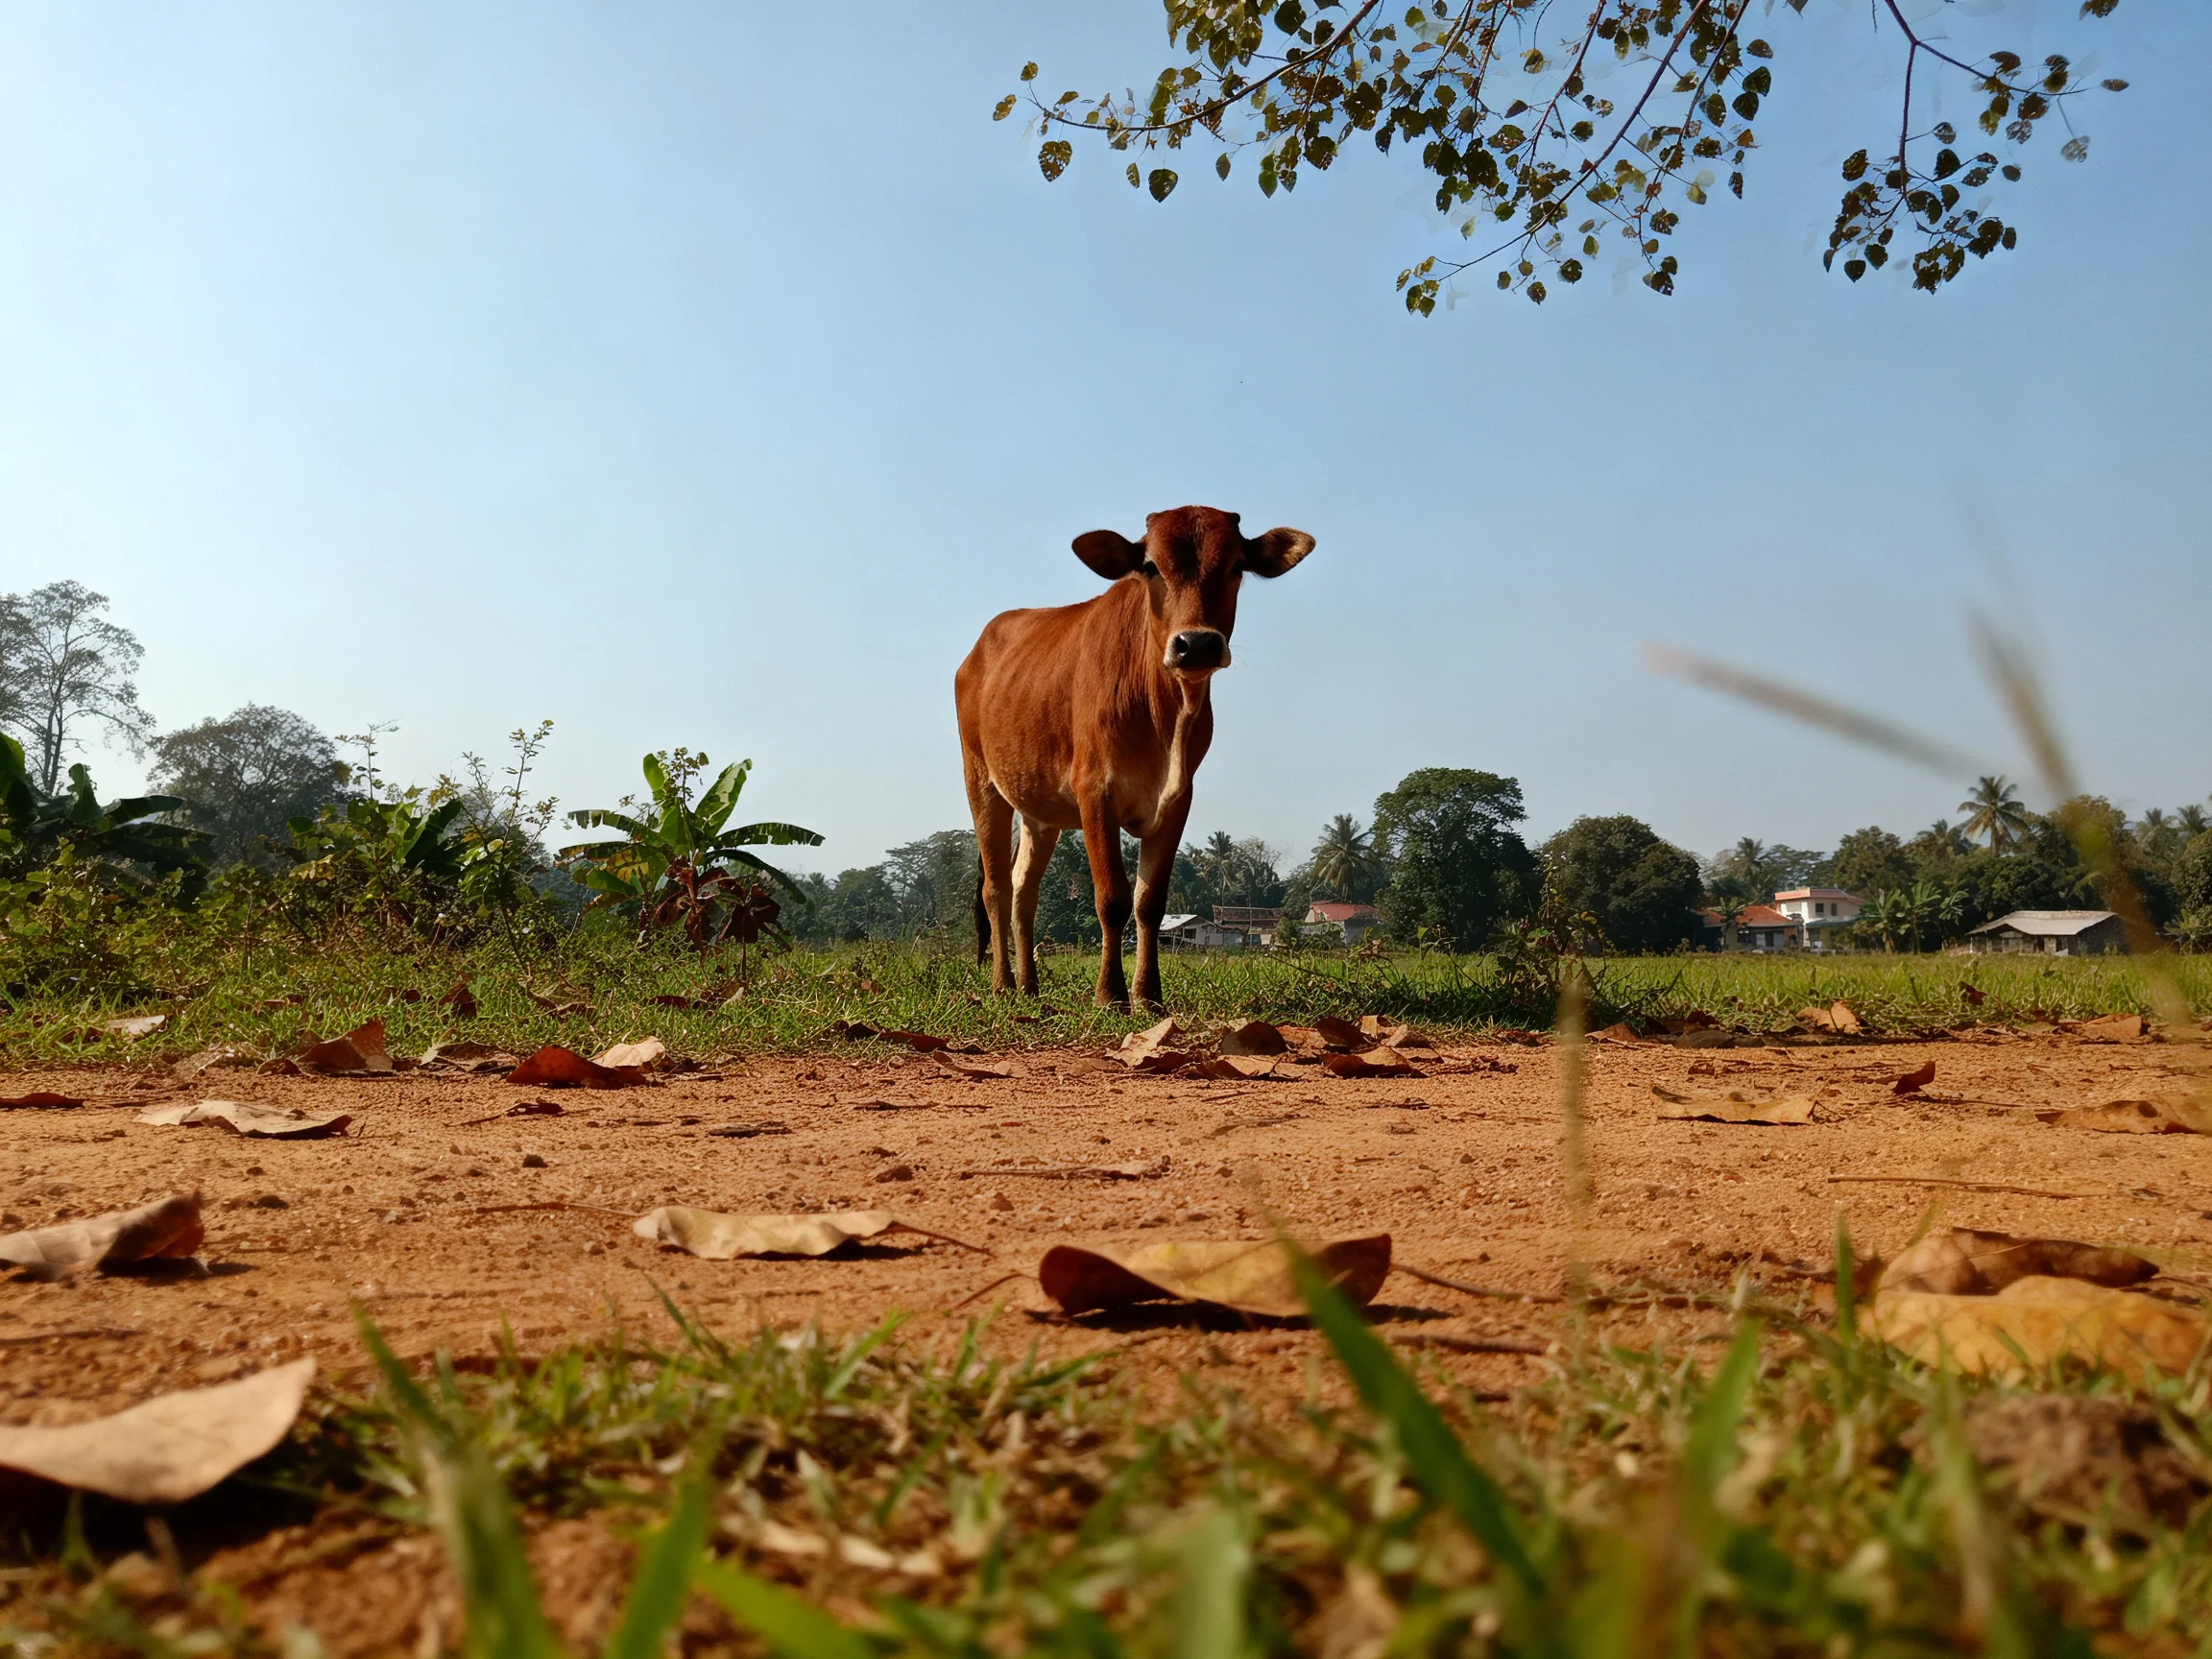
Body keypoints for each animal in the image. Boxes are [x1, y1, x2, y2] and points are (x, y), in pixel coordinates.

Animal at [955, 505, 1315, 1010]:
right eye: (1150, 567)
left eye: (1236, 566)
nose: (1196, 643)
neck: (1161, 710)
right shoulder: (1094, 792)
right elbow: (1112, 899)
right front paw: (1110, 994)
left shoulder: (1178, 799)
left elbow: (1150, 903)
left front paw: (1148, 995)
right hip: (981, 782)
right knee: (996, 889)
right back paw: (1003, 985)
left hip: (1039, 812)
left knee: (1024, 890)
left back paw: (1030, 985)